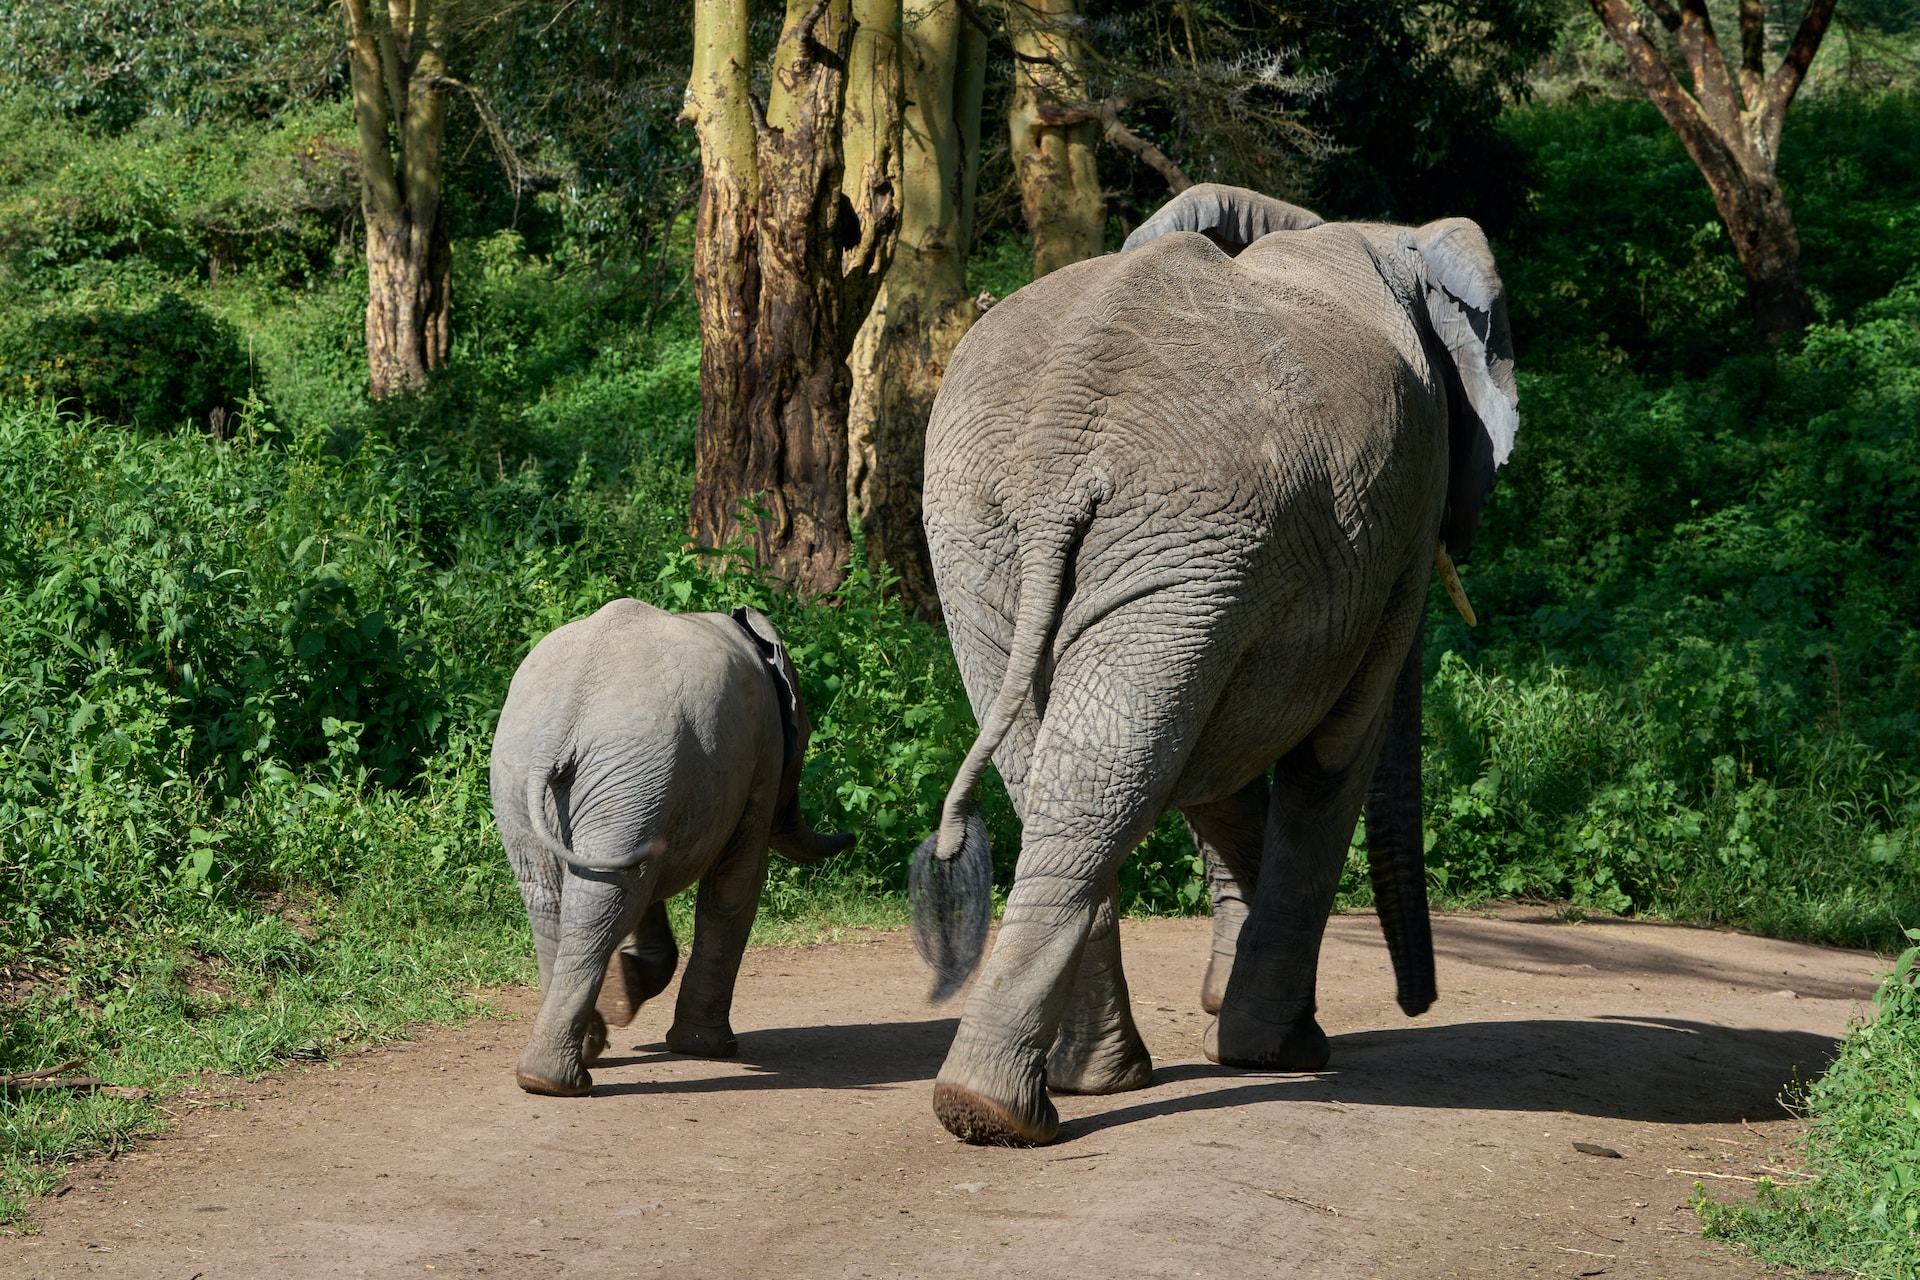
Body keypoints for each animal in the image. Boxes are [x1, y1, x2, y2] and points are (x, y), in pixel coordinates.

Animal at [491, 594, 852, 1097]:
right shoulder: (763, 755)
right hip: (619, 773)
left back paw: (561, 1066)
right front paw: (709, 1049)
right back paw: (562, 1075)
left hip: (546, 775)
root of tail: (564, 712)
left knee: (565, 895)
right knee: (604, 896)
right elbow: (737, 884)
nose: (851, 836)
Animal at [910, 177, 1512, 1143]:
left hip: (1012, 540)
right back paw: (1020, 1106)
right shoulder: (1394, 525)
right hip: (1167, 532)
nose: (1416, 1003)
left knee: (1078, 767)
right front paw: (1280, 1052)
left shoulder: (1249, 571)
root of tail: (1062, 430)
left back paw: (1031, 1099)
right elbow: (1332, 753)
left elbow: (1212, 761)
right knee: (1118, 762)